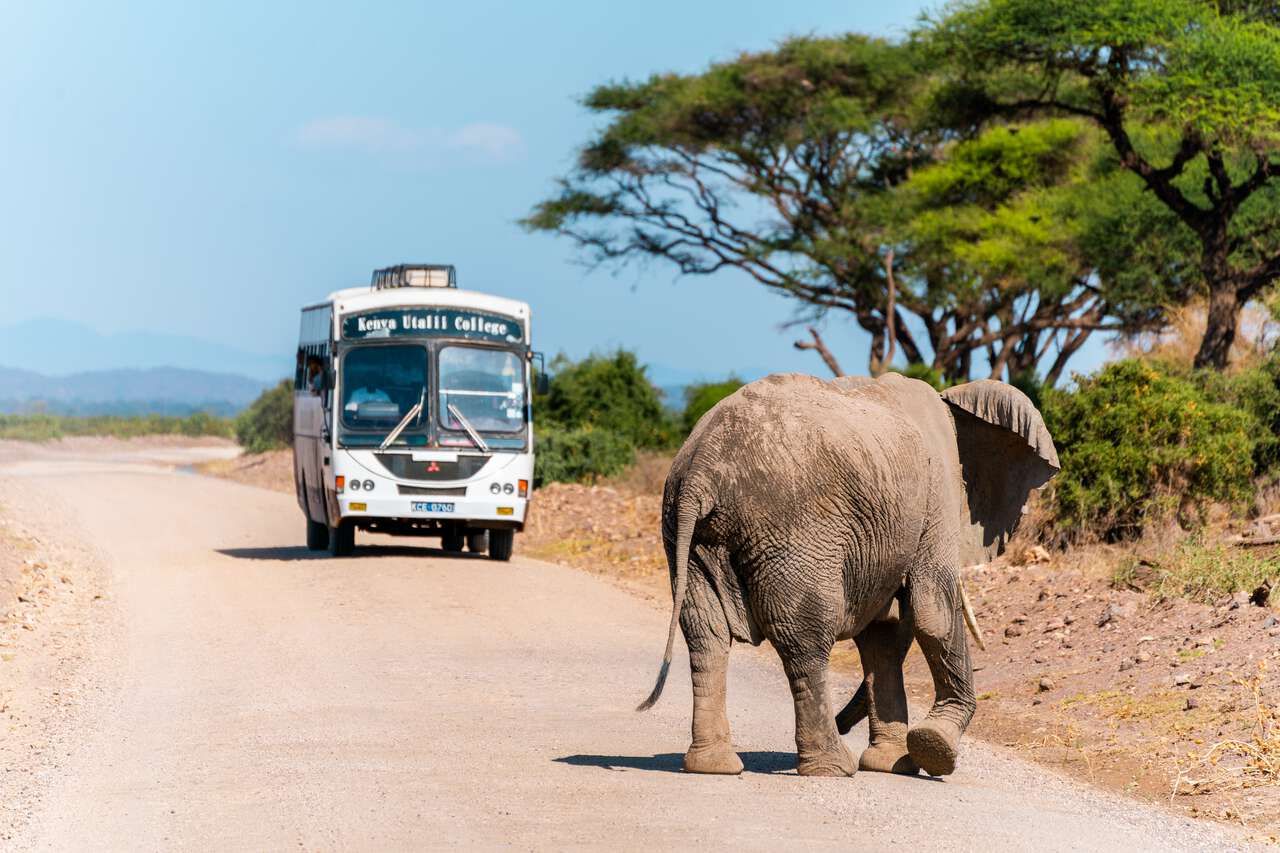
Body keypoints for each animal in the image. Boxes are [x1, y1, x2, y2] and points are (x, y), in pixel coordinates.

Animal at [636, 371, 1059, 778]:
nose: (844, 723)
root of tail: (701, 469)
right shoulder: (937, 492)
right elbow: (932, 611)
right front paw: (933, 748)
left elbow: (885, 634)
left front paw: (892, 764)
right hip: (793, 533)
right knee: (804, 639)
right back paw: (834, 767)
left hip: (689, 536)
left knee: (706, 635)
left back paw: (713, 766)